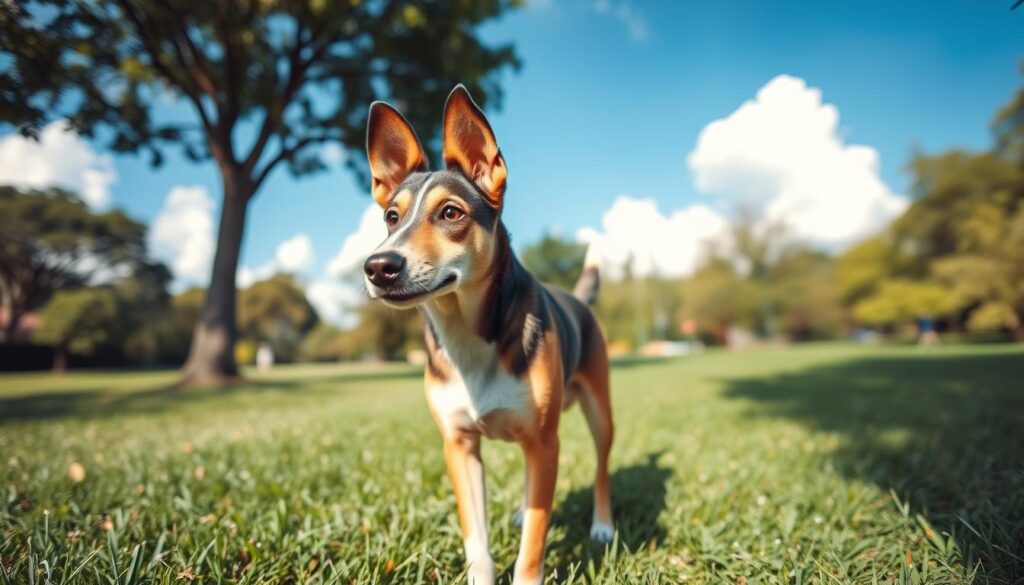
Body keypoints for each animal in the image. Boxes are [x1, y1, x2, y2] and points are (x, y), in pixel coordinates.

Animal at [364, 84, 610, 585]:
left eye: (450, 213)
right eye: (392, 218)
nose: (378, 266)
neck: (468, 336)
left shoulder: (545, 443)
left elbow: (534, 543)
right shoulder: (459, 446)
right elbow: (476, 537)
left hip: (599, 412)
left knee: (601, 469)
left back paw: (602, 526)